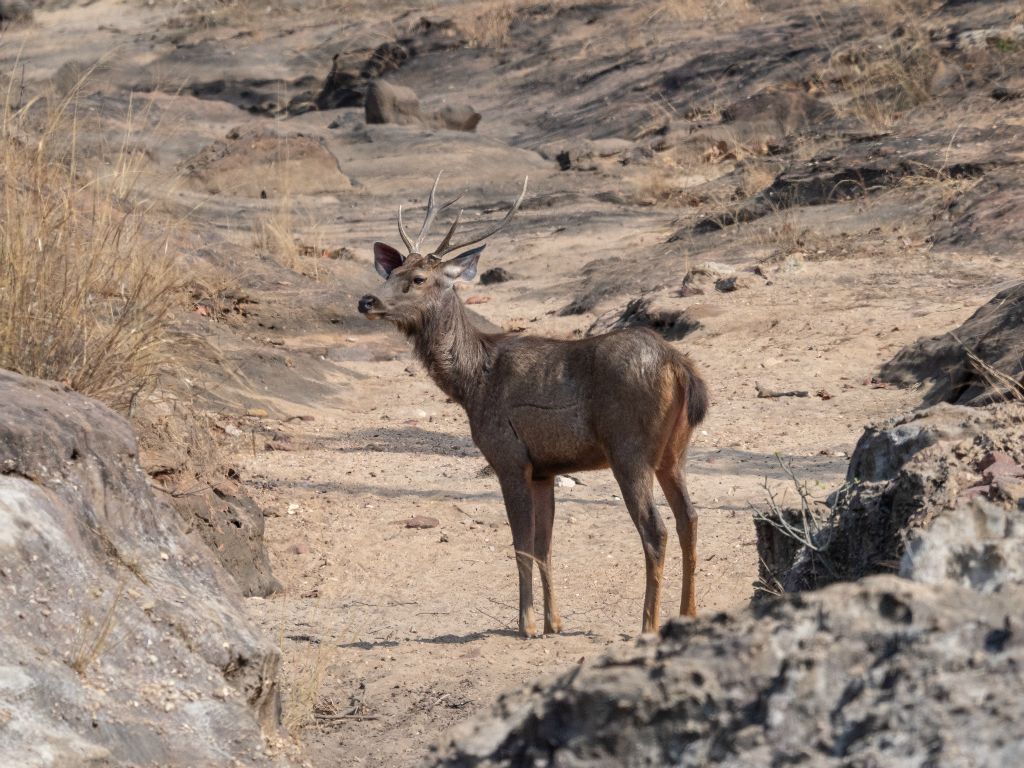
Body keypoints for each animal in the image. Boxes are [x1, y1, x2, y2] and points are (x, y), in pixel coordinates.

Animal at [356, 174, 708, 638]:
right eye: (392, 271)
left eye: (417, 279)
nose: (367, 301)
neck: (473, 383)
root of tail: (680, 367)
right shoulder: (545, 469)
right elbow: (545, 546)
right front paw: (554, 621)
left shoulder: (509, 457)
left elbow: (520, 543)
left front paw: (525, 624)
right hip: (675, 451)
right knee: (690, 519)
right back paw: (688, 614)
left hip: (629, 448)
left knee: (656, 529)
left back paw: (648, 624)